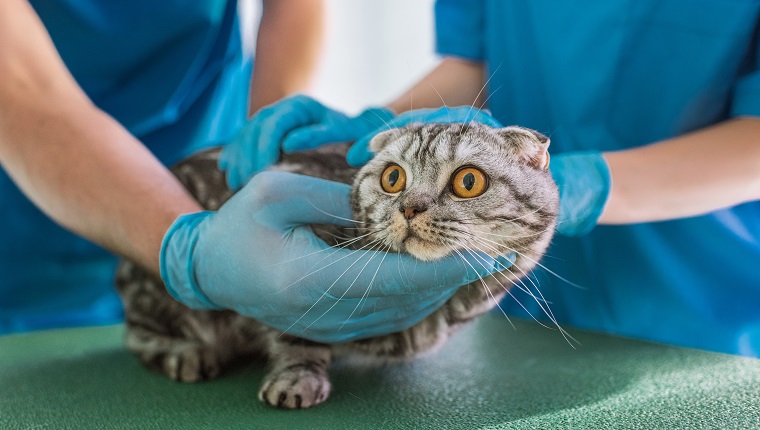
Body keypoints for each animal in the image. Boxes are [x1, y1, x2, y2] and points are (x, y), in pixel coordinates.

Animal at [116, 122, 560, 410]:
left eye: (469, 182)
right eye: (393, 178)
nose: (409, 207)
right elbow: (296, 330)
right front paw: (296, 377)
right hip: (156, 293)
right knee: (137, 333)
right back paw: (185, 353)